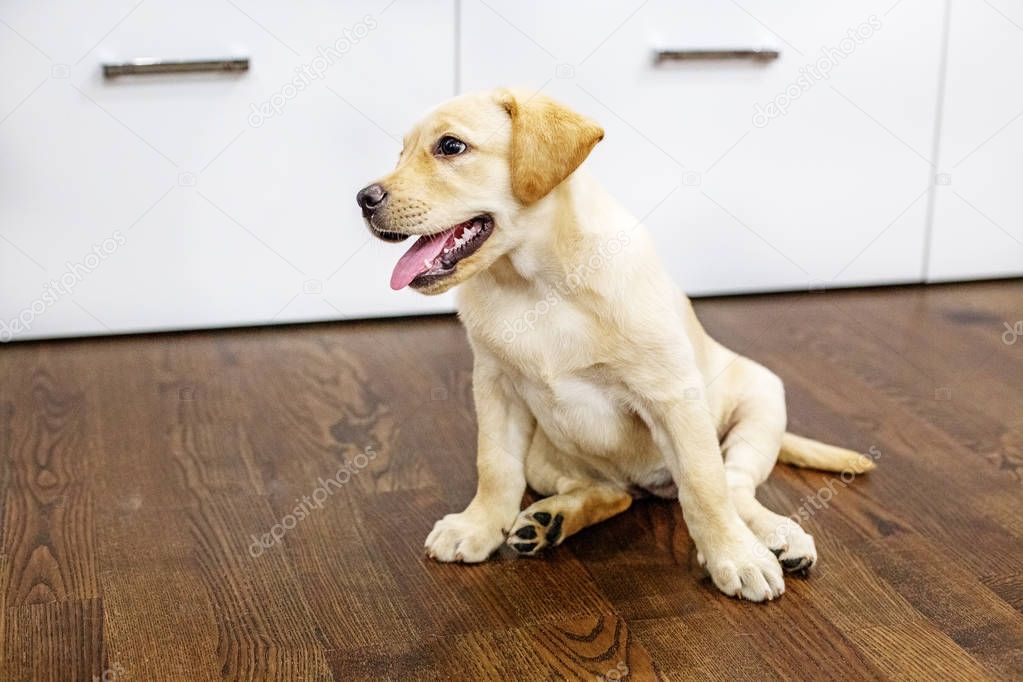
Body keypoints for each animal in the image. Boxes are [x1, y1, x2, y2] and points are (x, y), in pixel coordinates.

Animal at [356, 86, 875, 601]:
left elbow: (705, 486)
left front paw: (735, 557)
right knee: (612, 492)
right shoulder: (495, 385)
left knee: (734, 485)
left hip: (761, 398)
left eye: (450, 147)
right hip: (547, 456)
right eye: (401, 152)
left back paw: (777, 537)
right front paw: (477, 527)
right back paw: (549, 520)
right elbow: (495, 466)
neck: (535, 285)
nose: (363, 198)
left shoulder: (671, 396)